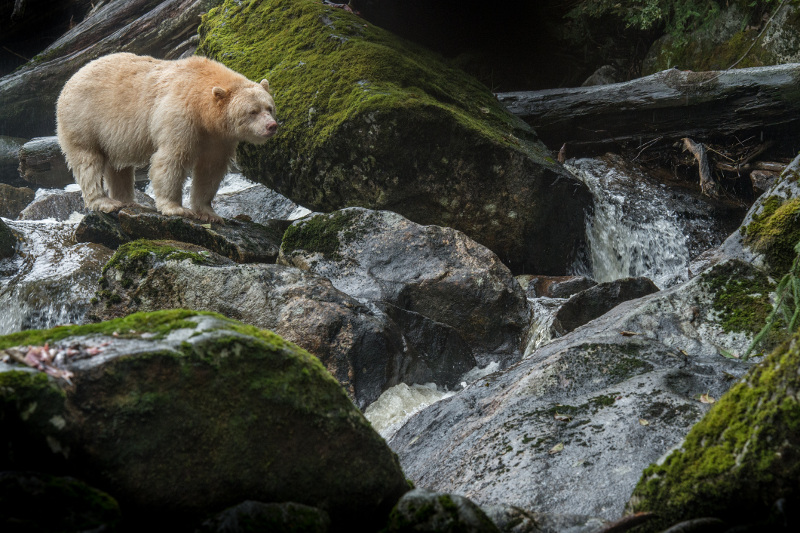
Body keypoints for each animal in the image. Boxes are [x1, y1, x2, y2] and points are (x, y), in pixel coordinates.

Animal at [54, 52, 276, 222]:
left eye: (269, 108)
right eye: (253, 111)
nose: (271, 126)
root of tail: (71, 79)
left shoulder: (218, 137)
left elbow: (211, 169)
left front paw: (209, 214)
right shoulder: (180, 116)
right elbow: (172, 159)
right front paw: (176, 208)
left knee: (118, 167)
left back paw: (129, 201)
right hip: (84, 119)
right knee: (88, 161)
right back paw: (105, 202)